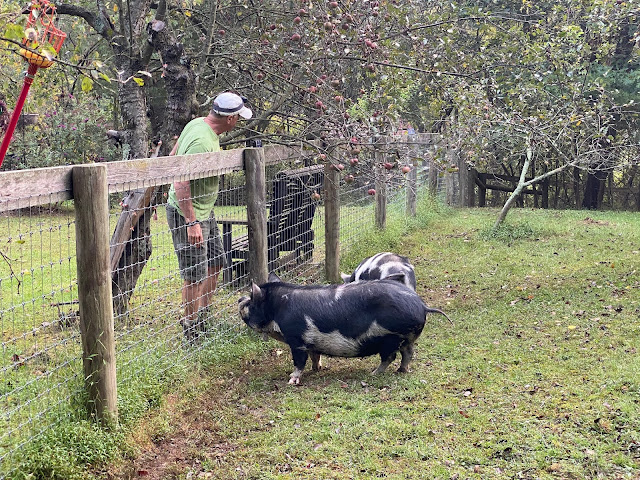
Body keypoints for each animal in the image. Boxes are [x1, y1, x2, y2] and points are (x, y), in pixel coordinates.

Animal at [238, 273, 451, 384]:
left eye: (252, 301)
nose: (240, 299)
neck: (277, 309)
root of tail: (421, 305)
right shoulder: (310, 342)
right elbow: (315, 355)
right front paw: (317, 369)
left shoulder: (296, 339)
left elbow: (299, 361)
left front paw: (291, 380)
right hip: (406, 337)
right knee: (408, 353)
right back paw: (401, 371)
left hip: (391, 337)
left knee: (390, 357)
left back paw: (373, 373)